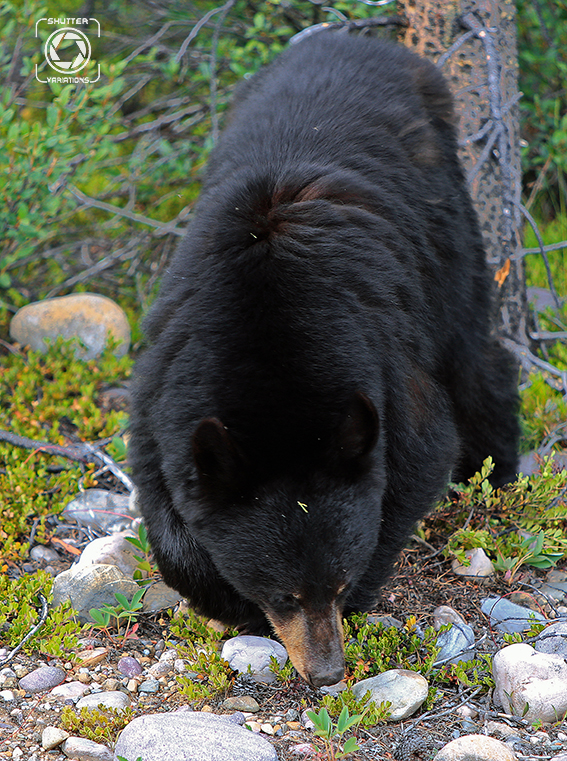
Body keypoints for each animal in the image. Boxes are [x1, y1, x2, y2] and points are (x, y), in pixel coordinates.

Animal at [129, 32, 520, 688]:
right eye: (283, 594)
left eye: (333, 584)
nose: (328, 673)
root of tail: (359, 40)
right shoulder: (166, 378)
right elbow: (166, 503)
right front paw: (223, 599)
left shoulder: (385, 364)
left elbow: (415, 460)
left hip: (446, 232)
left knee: (472, 355)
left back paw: (498, 471)